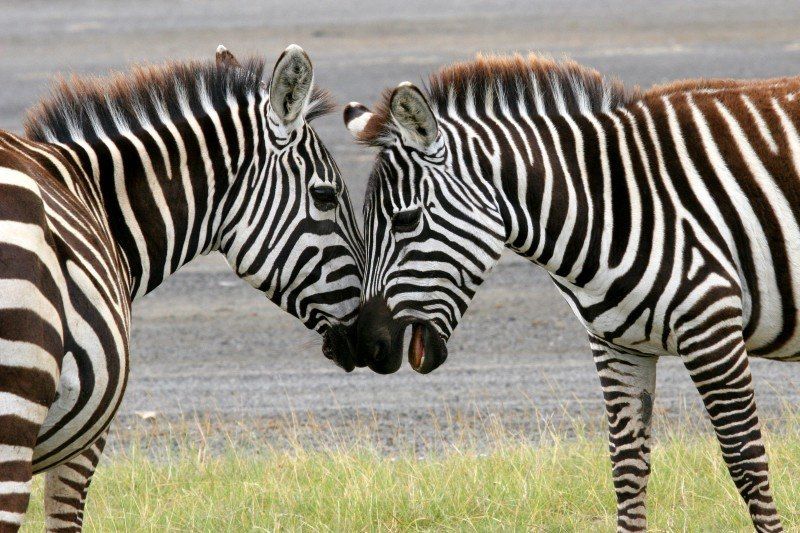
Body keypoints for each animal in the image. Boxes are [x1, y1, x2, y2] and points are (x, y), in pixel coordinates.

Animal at [346, 52, 800, 528]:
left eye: (405, 221)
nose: (367, 345)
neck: (608, 205)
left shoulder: (711, 328)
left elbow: (746, 459)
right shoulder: (616, 346)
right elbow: (627, 466)